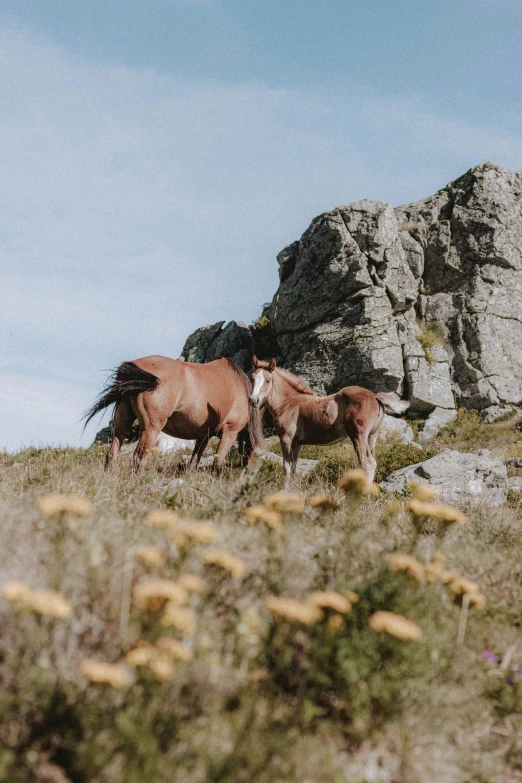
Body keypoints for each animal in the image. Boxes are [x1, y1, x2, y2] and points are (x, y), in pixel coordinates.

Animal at [86, 356, 264, 472]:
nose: (248, 470)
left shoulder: (203, 436)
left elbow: (193, 462)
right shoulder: (230, 432)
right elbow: (217, 463)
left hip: (122, 423)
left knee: (112, 454)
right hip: (151, 428)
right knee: (139, 457)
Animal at [248, 356, 406, 490]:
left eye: (268, 380)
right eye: (252, 378)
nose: (253, 400)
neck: (288, 403)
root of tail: (374, 396)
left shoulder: (286, 439)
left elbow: (286, 467)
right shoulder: (297, 443)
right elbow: (293, 468)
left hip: (358, 435)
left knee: (366, 463)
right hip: (372, 435)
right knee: (373, 462)